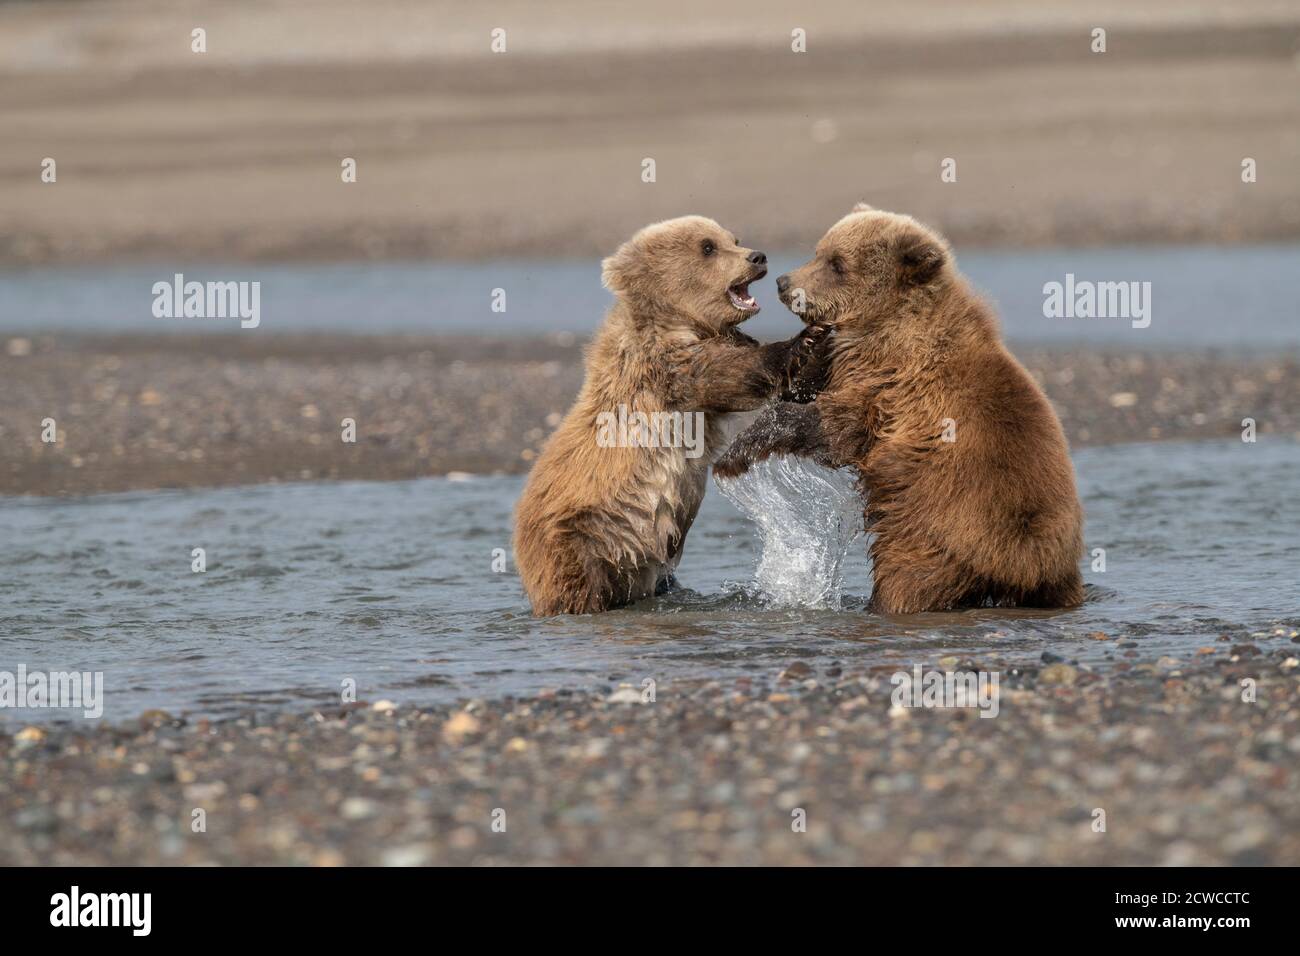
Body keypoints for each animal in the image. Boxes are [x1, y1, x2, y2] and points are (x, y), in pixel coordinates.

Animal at [514, 215, 821, 616]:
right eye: (707, 247)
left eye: (733, 239)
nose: (757, 256)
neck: (680, 320)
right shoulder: (662, 366)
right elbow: (728, 374)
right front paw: (803, 341)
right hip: (582, 539)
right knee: (580, 585)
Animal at [717, 205, 1081, 616]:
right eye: (819, 251)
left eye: (837, 263)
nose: (783, 282)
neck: (887, 325)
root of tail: (1024, 565)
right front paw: (807, 345)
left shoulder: (895, 388)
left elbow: (835, 427)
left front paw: (736, 453)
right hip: (1049, 577)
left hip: (932, 532)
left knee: (905, 582)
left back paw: (881, 605)